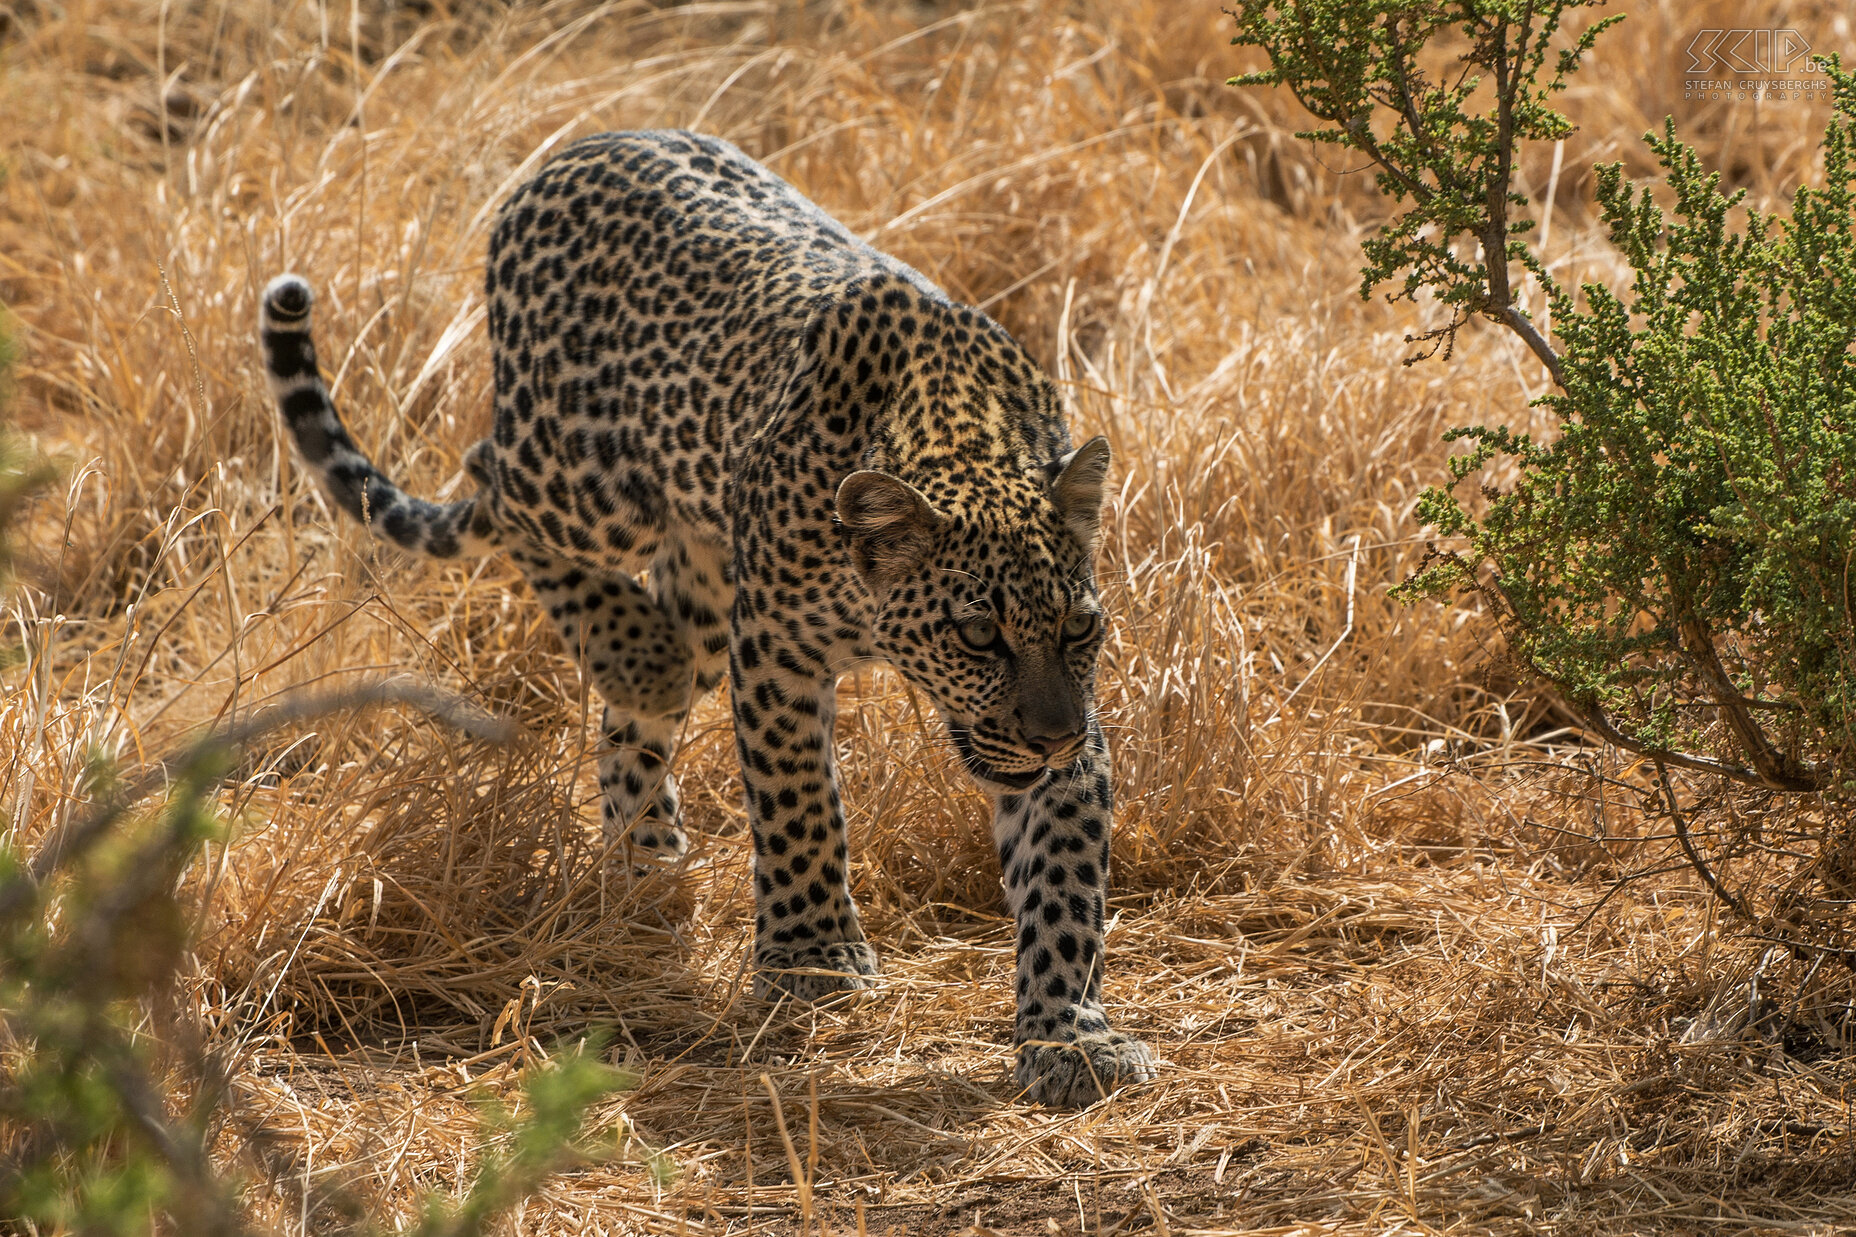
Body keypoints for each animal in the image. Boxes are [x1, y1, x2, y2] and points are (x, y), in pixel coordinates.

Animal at [257, 130, 1158, 1099]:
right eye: (978, 634)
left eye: (1081, 629)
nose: (1051, 737)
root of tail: (577, 149)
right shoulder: (775, 652)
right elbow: (800, 809)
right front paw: (814, 957)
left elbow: (1063, 878)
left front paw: (1072, 1035)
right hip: (583, 481)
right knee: (489, 473)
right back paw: (638, 658)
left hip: (698, 559)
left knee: (629, 722)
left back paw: (646, 855)